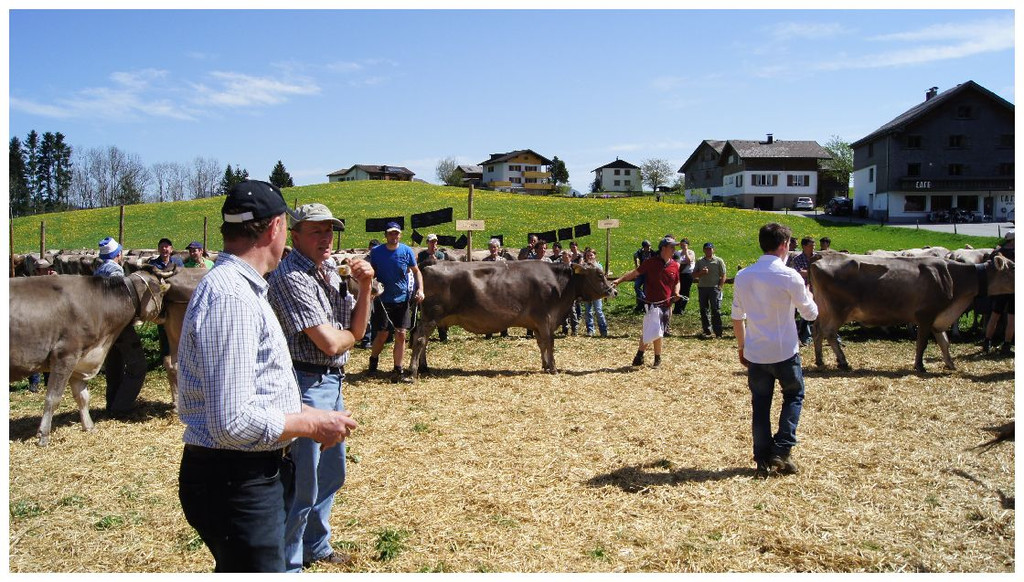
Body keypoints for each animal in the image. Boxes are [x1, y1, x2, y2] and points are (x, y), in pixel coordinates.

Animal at [9, 266, 174, 445]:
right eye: (162, 293)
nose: (166, 313)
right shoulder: (65, 355)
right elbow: (53, 398)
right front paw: (43, 435)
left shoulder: (81, 361)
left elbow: (82, 397)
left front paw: (89, 426)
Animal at [408, 260, 617, 378]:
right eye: (599, 275)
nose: (613, 290)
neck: (559, 285)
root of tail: (429, 265)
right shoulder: (546, 318)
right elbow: (550, 342)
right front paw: (553, 368)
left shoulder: (537, 323)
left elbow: (541, 343)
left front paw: (544, 365)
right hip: (431, 316)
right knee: (420, 340)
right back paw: (412, 373)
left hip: (428, 318)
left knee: (421, 339)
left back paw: (424, 368)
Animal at [809, 252, 1014, 372]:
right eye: (1012, 267)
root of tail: (820, 258)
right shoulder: (925, 315)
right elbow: (922, 343)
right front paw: (920, 366)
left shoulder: (939, 318)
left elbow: (944, 342)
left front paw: (950, 364)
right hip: (838, 309)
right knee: (829, 332)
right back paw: (843, 362)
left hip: (822, 308)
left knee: (817, 330)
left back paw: (820, 360)